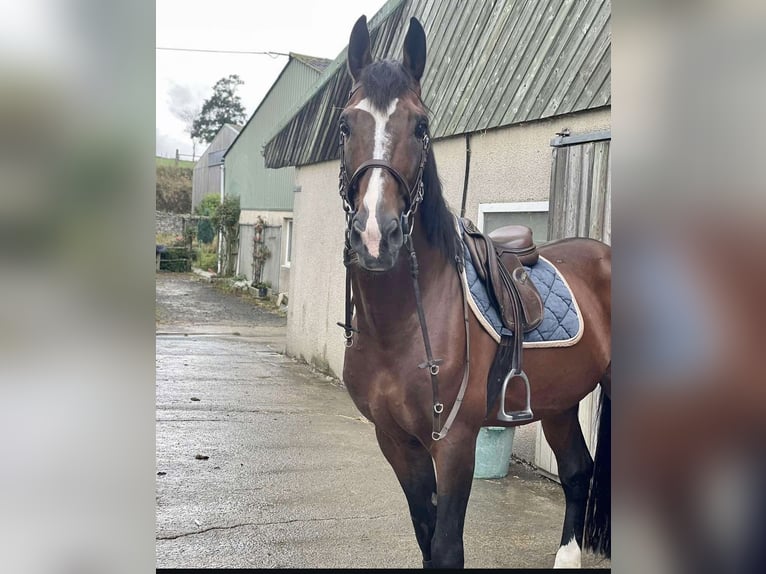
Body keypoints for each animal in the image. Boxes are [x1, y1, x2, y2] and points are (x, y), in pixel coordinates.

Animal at [336, 15, 612, 568]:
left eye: (421, 127)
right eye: (345, 126)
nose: (376, 236)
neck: (400, 325)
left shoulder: (455, 441)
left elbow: (446, 549)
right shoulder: (397, 443)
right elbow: (426, 539)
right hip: (560, 401)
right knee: (577, 471)